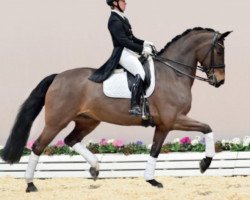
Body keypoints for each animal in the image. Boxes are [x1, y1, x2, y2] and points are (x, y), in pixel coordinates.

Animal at [0, 27, 230, 191]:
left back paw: (95, 168)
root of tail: (57, 77)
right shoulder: (174, 119)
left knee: (70, 140)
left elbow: (155, 150)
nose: (220, 81)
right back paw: (30, 184)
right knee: (39, 146)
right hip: (56, 121)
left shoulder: (164, 125)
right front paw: (204, 163)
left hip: (88, 120)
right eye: (219, 50)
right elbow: (207, 128)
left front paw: (151, 180)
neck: (173, 74)